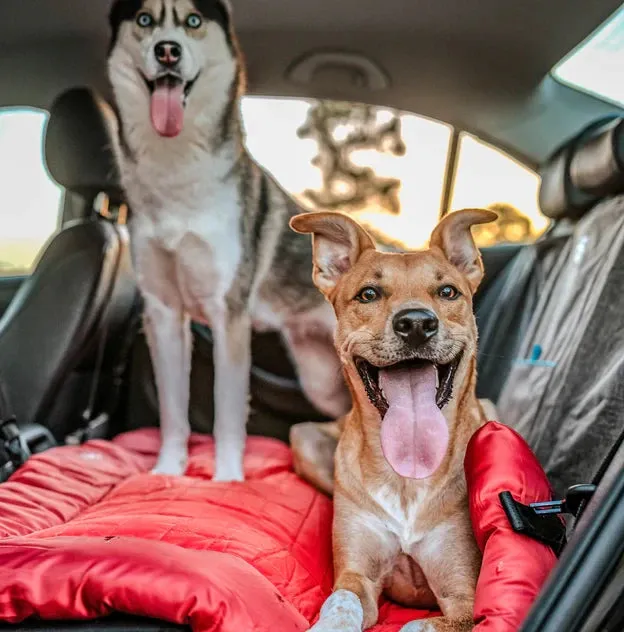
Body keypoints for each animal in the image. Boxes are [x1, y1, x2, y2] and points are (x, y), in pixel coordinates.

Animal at [106, 0, 352, 478]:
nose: (168, 51)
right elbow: (173, 412)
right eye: (144, 20)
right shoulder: (164, 315)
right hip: (320, 380)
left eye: (193, 22)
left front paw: (226, 478)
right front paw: (168, 472)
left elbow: (227, 412)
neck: (176, 182)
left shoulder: (228, 317)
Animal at [288, 210, 498, 628]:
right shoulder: (357, 576)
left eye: (448, 292)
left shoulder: (465, 601)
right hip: (304, 440)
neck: (407, 478)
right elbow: (341, 602)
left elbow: (418, 624)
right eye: (369, 294)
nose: (416, 323)